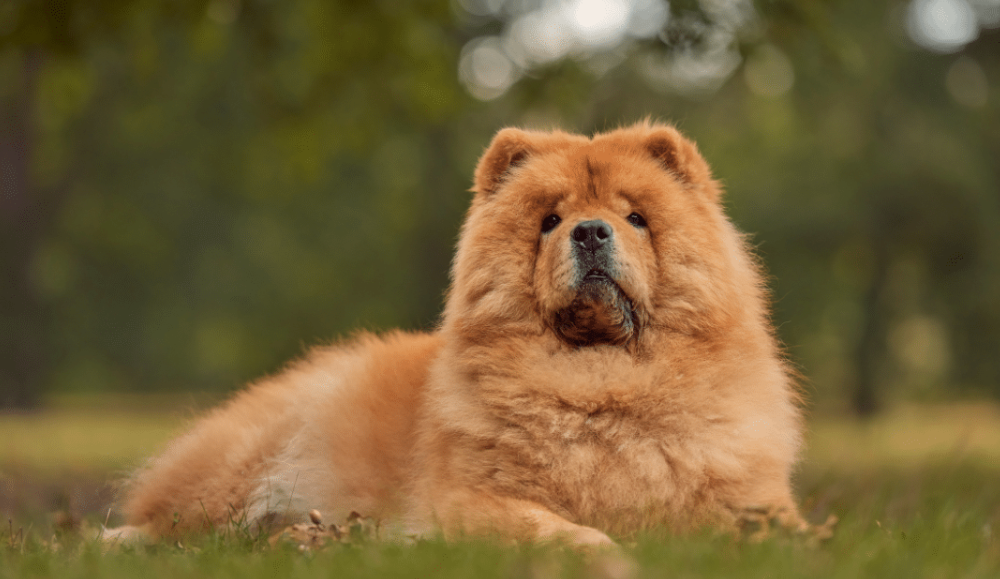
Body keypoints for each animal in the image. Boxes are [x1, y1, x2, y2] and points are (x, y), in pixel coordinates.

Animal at [113, 122, 808, 548]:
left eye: (636, 218)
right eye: (549, 220)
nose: (589, 231)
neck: (603, 380)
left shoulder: (749, 495)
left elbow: (784, 528)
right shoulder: (473, 500)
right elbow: (559, 529)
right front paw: (604, 549)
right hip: (237, 469)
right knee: (172, 524)